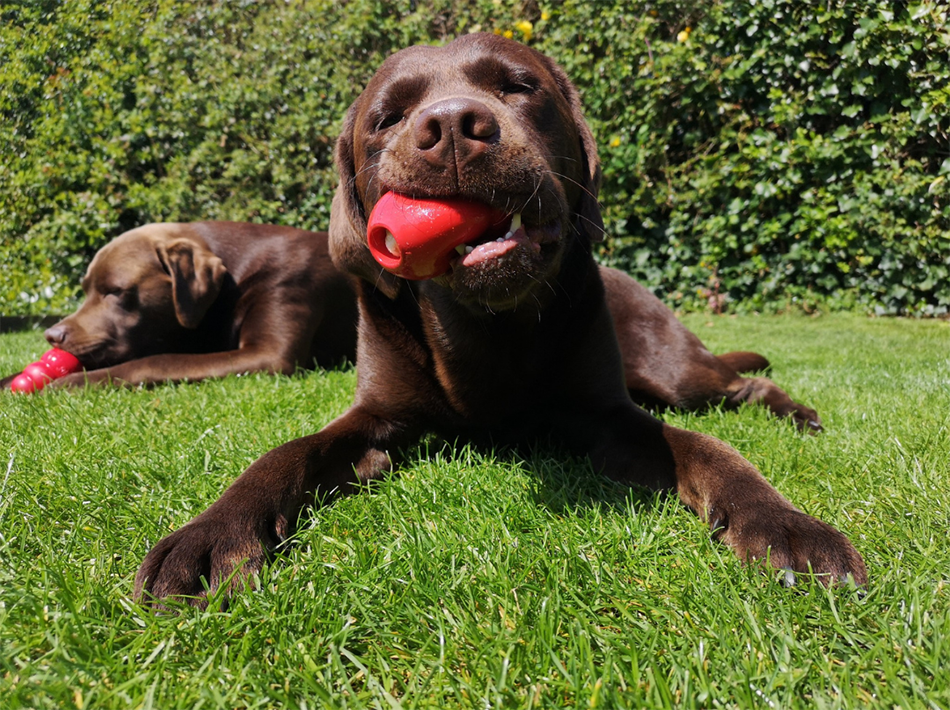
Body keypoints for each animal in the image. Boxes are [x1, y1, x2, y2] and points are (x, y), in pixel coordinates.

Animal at [1, 225, 820, 432]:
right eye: (83, 290)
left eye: (116, 293)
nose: (51, 337)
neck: (234, 269)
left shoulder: (269, 354)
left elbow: (151, 363)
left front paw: (77, 385)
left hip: (670, 370)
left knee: (742, 384)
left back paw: (799, 411)